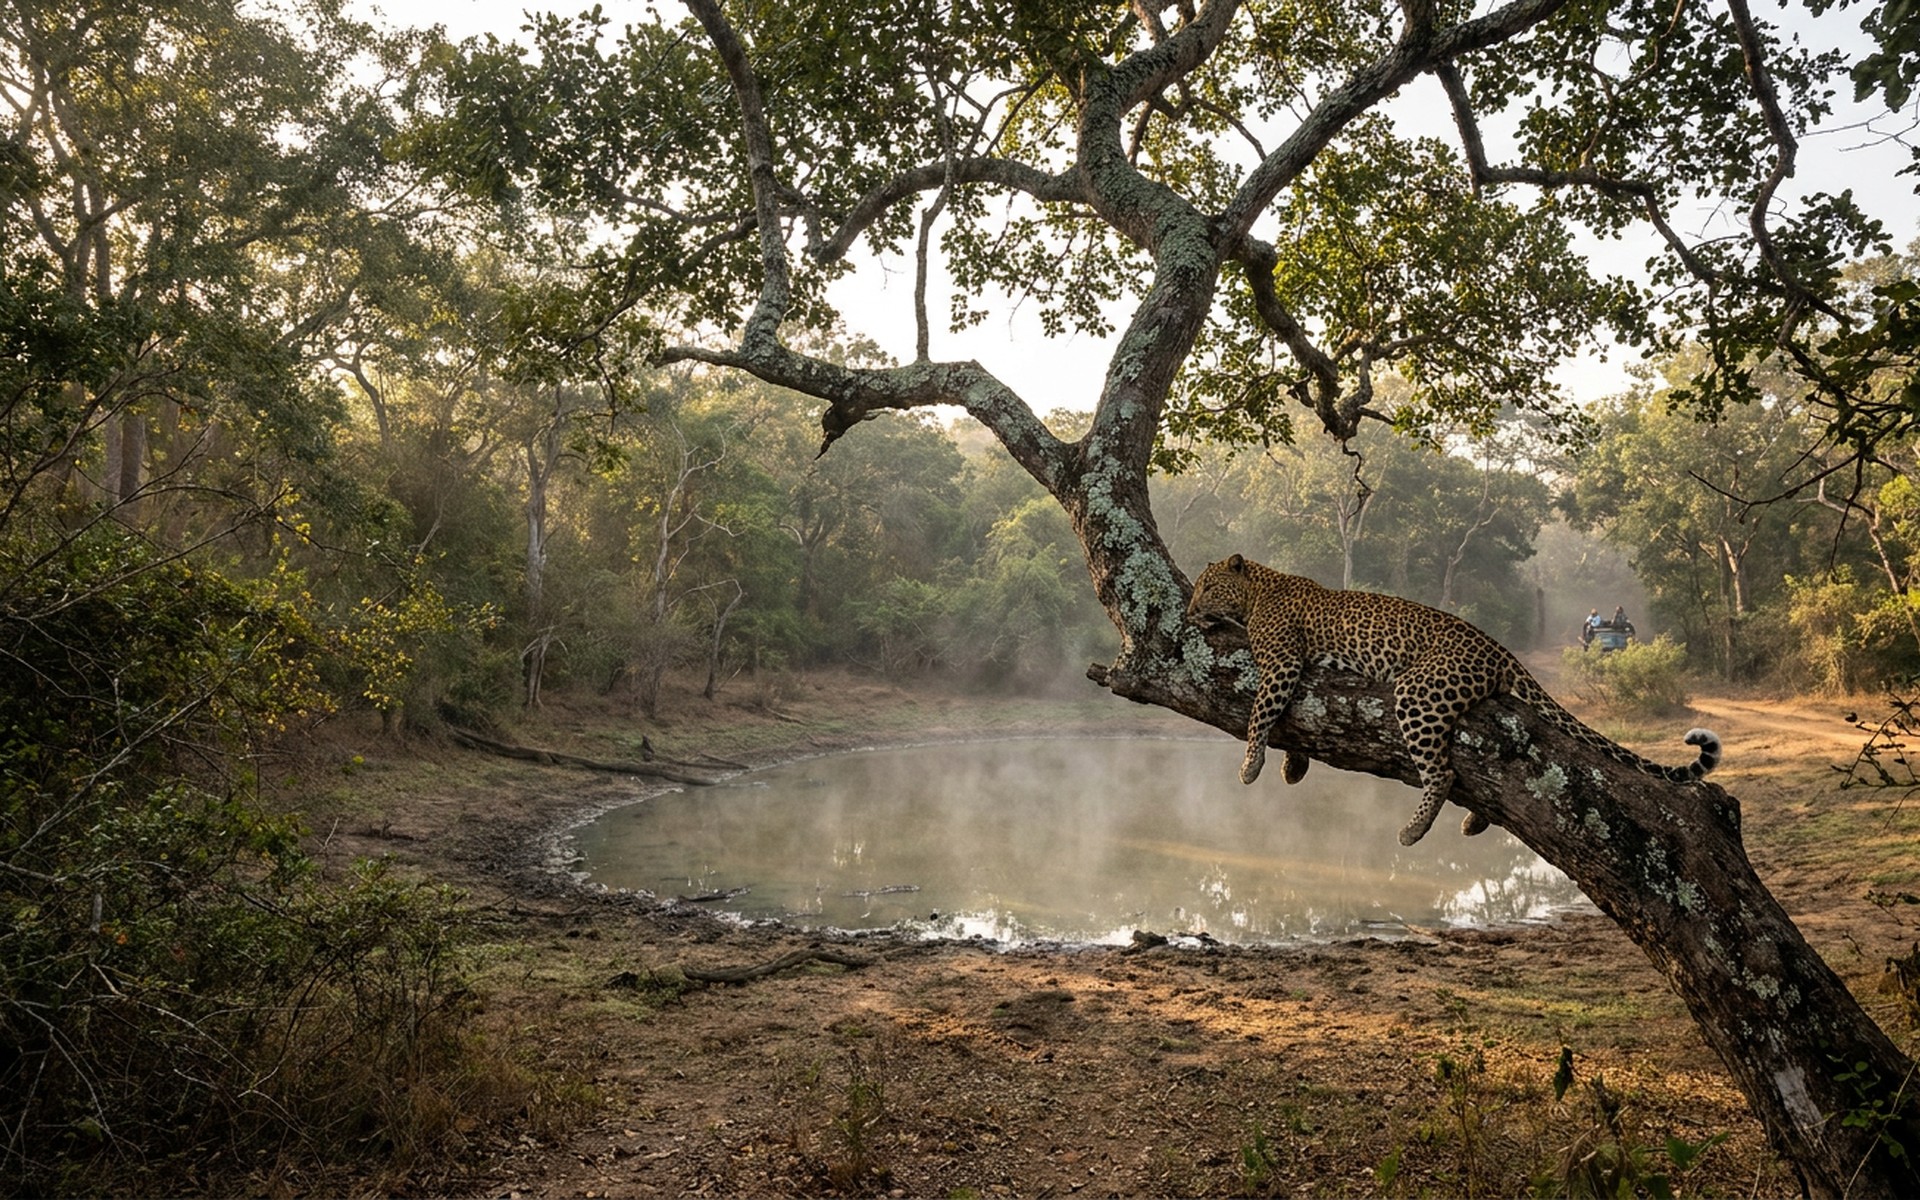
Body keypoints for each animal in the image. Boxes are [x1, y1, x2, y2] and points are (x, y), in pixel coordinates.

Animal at [1185, 553, 1721, 846]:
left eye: (1206, 587)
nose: (1189, 612)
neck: (1258, 590)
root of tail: (1496, 646)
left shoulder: (1280, 662)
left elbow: (1260, 712)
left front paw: (1249, 766)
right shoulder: (1302, 673)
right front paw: (1292, 767)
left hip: (1418, 692)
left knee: (1441, 773)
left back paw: (1413, 830)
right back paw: (1472, 822)